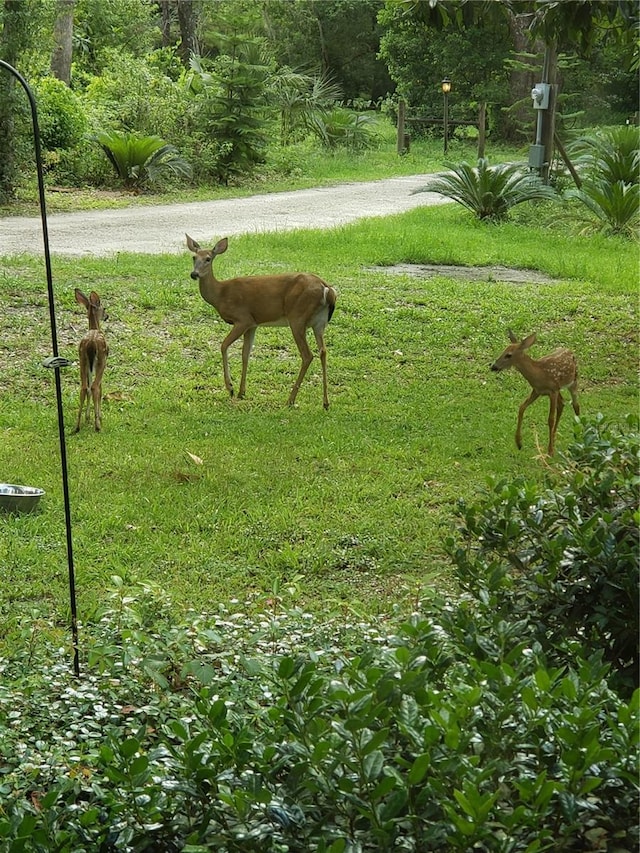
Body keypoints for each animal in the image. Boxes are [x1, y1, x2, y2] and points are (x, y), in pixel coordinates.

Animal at [185, 233, 338, 406]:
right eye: (194, 257)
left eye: (208, 259)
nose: (194, 274)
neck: (220, 295)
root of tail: (327, 289)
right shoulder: (253, 324)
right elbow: (245, 354)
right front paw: (241, 392)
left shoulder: (242, 318)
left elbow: (224, 346)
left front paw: (230, 388)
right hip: (319, 323)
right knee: (323, 351)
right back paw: (325, 402)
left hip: (297, 317)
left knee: (307, 355)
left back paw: (290, 400)